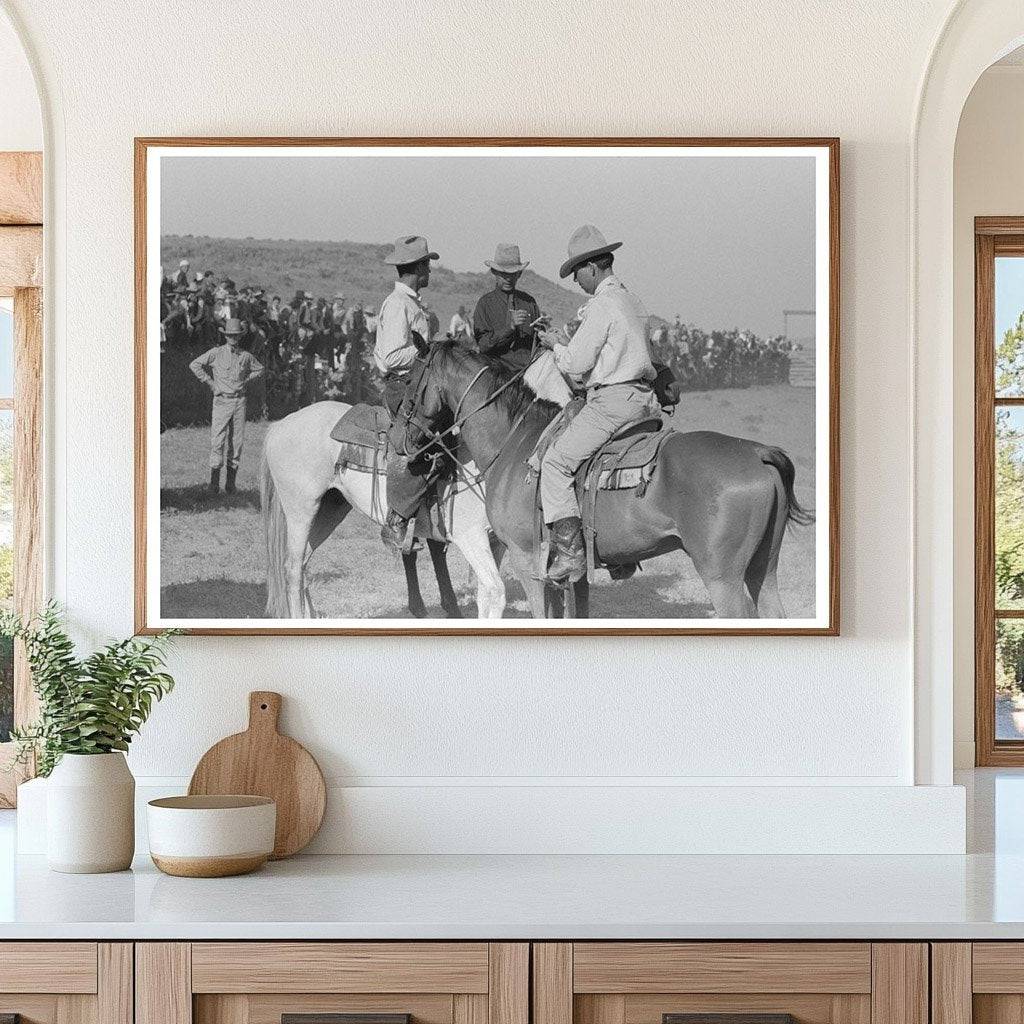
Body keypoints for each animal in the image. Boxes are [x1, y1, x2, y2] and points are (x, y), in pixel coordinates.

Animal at [411, 339, 811, 618]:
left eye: (411, 380)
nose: (409, 441)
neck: (515, 442)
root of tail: (756, 452)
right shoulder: (567, 575)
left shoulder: (527, 561)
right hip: (763, 568)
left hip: (722, 577)